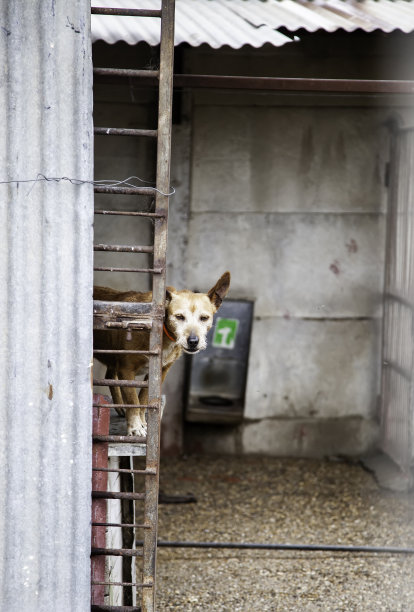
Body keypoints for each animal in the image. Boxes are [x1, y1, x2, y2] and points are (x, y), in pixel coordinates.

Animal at [93, 272, 230, 436]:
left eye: (204, 318)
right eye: (179, 317)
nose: (193, 341)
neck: (165, 336)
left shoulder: (160, 371)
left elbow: (143, 398)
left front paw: (143, 423)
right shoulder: (126, 370)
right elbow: (133, 400)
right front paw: (135, 428)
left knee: (109, 376)